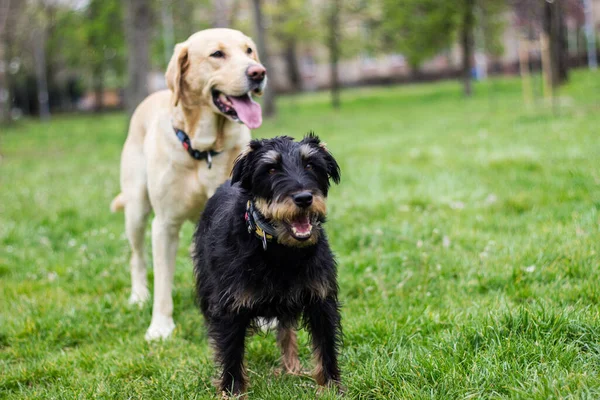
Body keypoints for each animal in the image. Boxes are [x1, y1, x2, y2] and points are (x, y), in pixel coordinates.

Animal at [111, 28, 266, 340]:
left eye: (249, 51)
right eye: (217, 54)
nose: (258, 72)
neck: (204, 149)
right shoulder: (164, 225)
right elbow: (162, 282)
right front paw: (160, 326)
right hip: (136, 209)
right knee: (137, 257)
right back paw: (139, 296)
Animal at [193, 134, 342, 396]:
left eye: (310, 165)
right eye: (271, 169)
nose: (304, 198)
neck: (280, 251)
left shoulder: (320, 300)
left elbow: (325, 346)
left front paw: (331, 387)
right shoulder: (230, 307)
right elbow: (230, 351)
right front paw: (231, 391)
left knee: (286, 330)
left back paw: (291, 367)